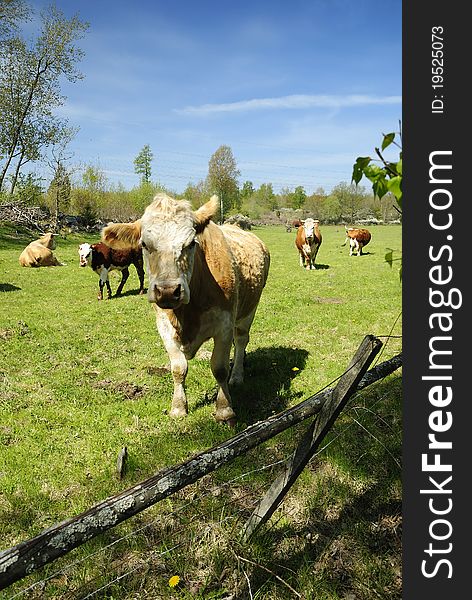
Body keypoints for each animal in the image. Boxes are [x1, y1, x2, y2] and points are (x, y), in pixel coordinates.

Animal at [101, 195, 272, 424]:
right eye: (144, 244)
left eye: (191, 243)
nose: (167, 290)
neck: (187, 315)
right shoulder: (164, 326)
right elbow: (178, 369)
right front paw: (178, 407)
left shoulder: (225, 325)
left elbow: (219, 368)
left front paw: (224, 409)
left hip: (248, 311)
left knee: (242, 340)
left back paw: (237, 376)